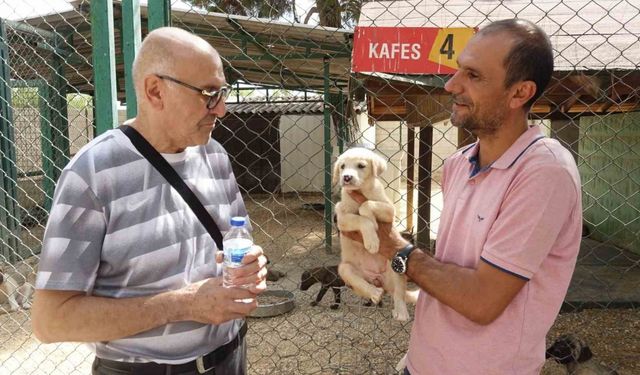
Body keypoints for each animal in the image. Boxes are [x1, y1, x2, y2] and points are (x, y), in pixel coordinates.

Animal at [332, 148, 418, 322]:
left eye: (361, 166)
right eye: (342, 166)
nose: (346, 177)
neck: (361, 191)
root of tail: (378, 280)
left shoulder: (389, 210)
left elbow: (366, 204)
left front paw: (371, 221)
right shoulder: (342, 218)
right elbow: (361, 219)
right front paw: (372, 240)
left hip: (395, 265)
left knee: (399, 294)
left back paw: (401, 312)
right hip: (345, 269)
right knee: (362, 282)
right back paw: (374, 292)